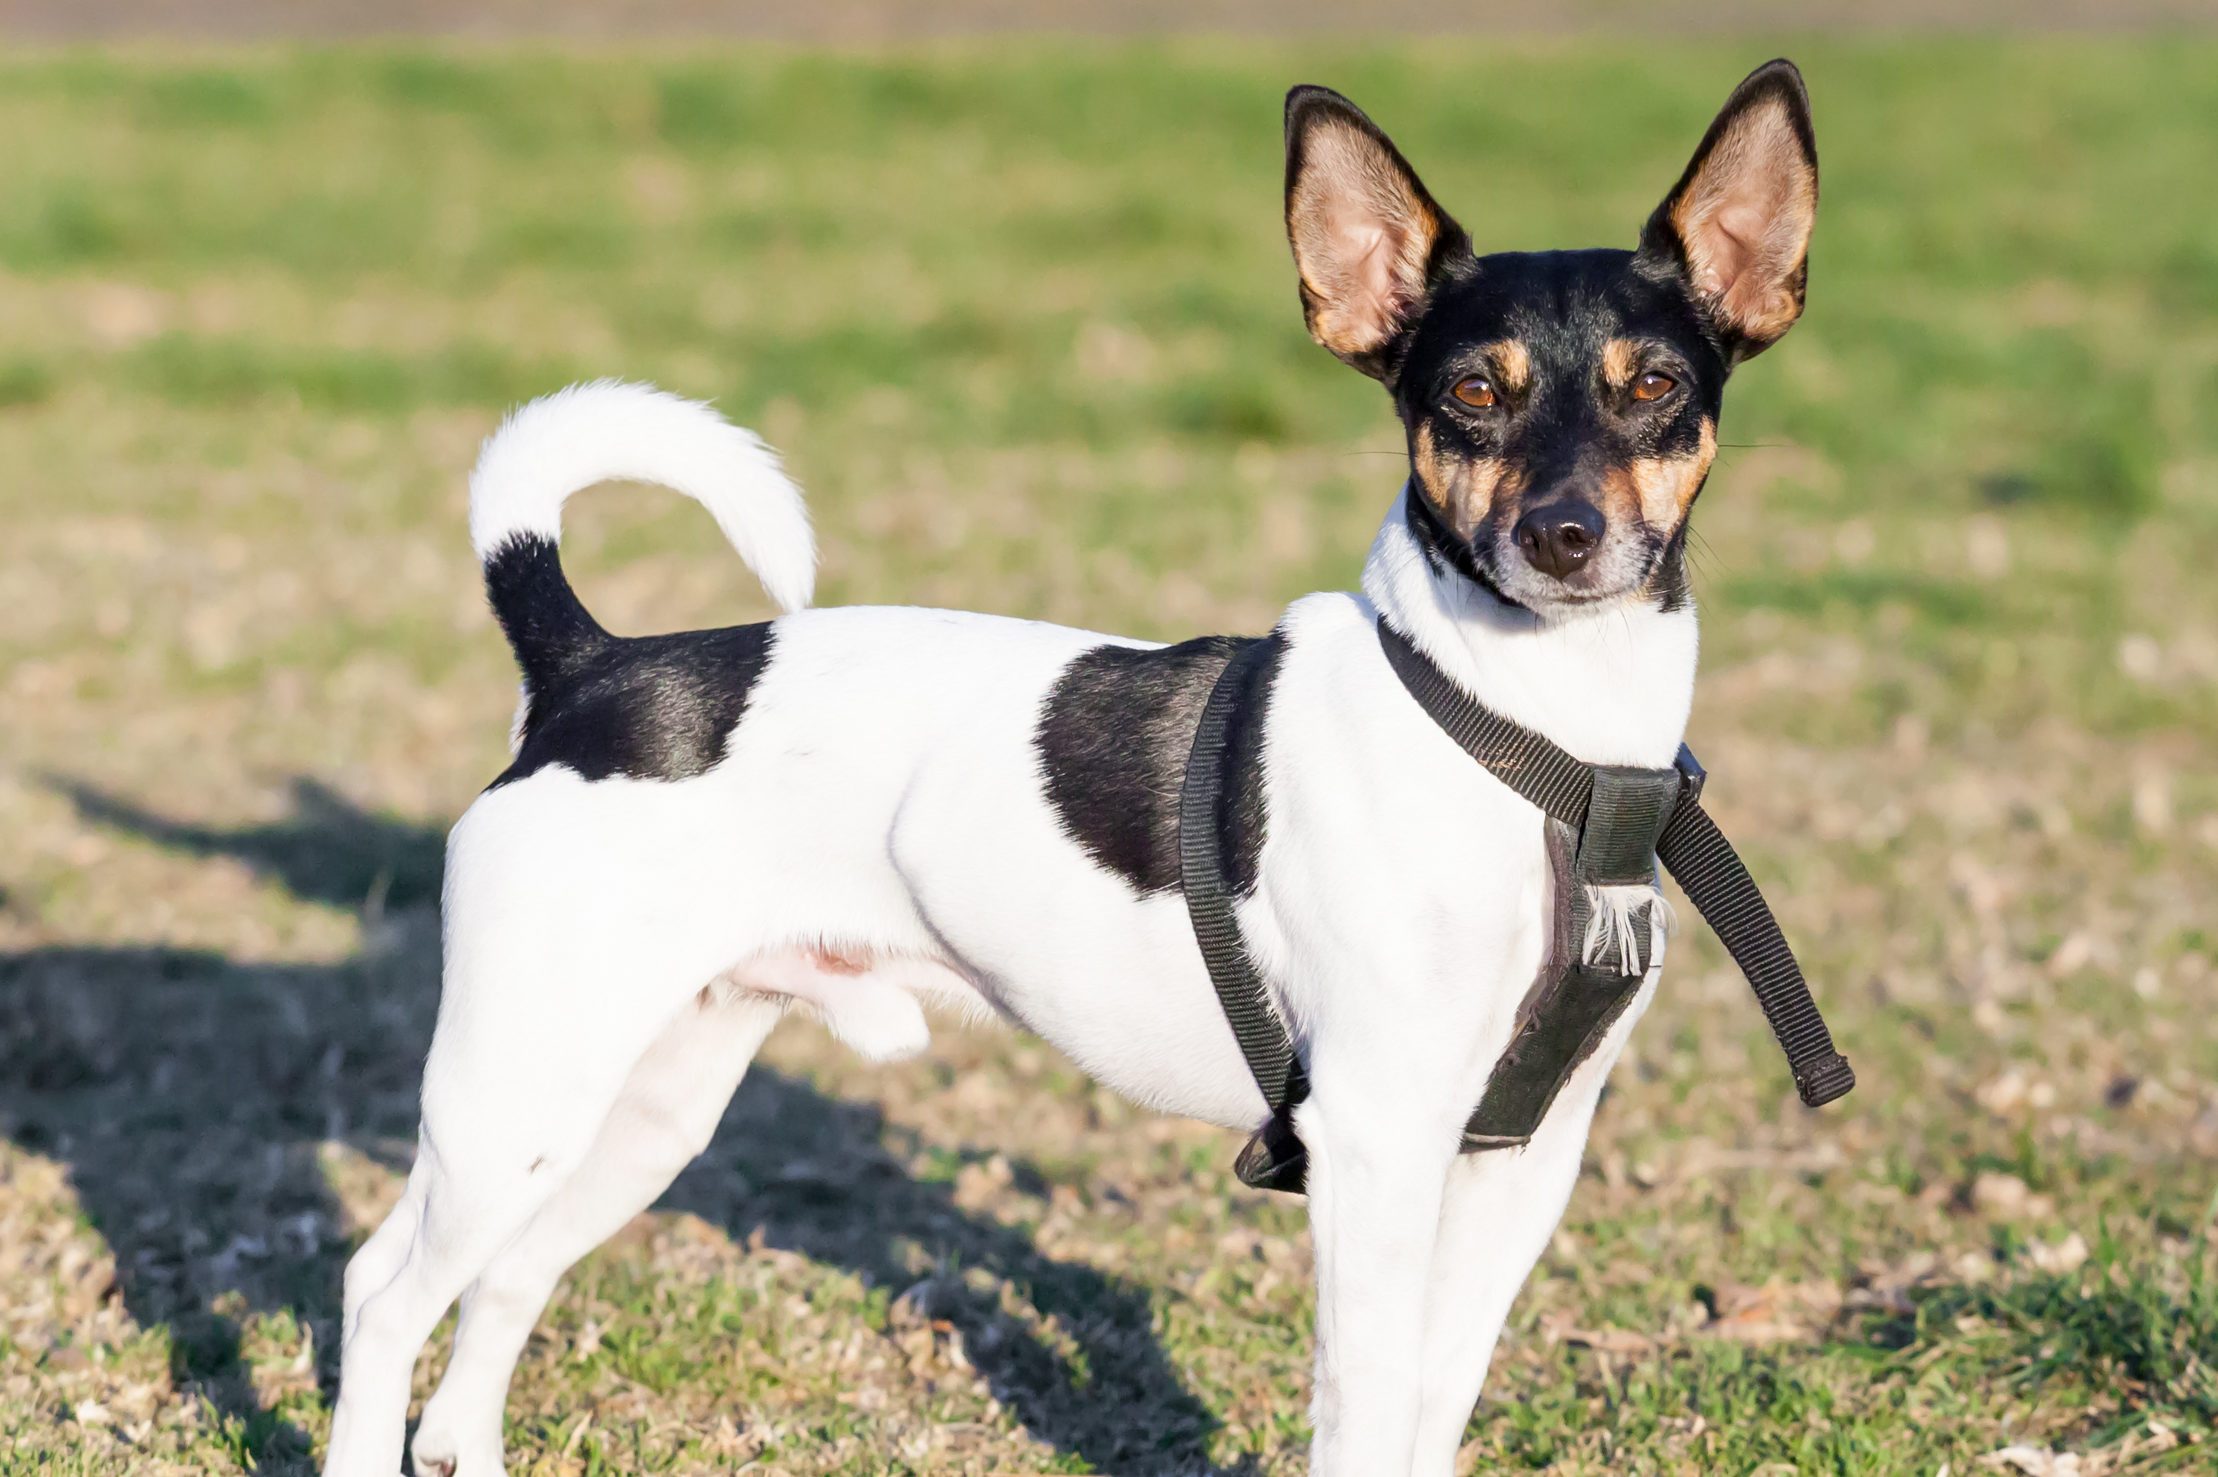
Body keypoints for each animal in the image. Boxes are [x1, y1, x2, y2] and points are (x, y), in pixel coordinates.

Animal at [323, 57, 1818, 1472]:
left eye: (1655, 387)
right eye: (1468, 393)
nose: (1564, 537)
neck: (1534, 738)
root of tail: (587, 663)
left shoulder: (1522, 1160)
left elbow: (1431, 1409)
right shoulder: (1376, 1141)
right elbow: (1364, 1411)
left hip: (639, 1107)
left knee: (504, 1280)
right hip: (517, 1092)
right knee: (383, 1289)